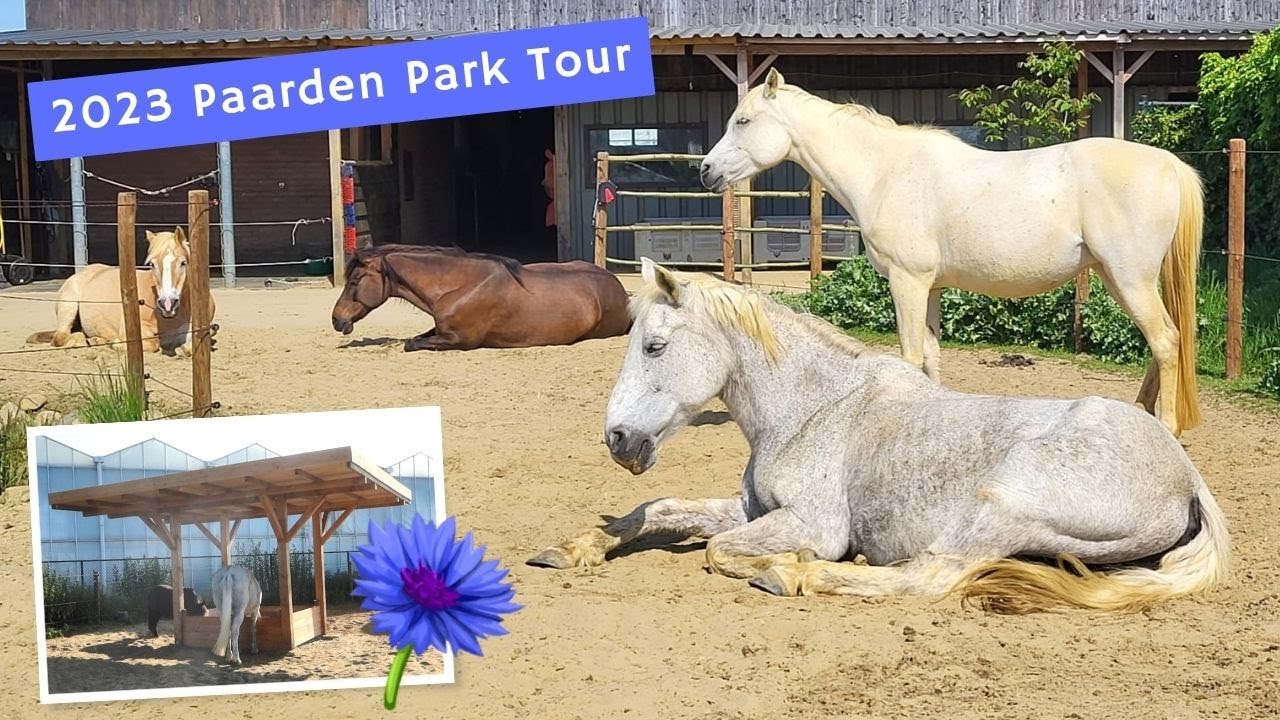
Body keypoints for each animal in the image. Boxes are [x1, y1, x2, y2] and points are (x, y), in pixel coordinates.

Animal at [27, 227, 216, 357]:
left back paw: (95, 340)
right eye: (152, 264)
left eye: (183, 262)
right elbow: (153, 343)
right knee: (61, 336)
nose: (167, 304)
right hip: (69, 306)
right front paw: (116, 344)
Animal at [331, 244, 631, 351]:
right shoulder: (440, 329)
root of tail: (617, 286)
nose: (336, 319)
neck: (460, 287)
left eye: (355, 281)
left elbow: (412, 344)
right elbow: (416, 337)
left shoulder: (459, 340)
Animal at [527, 258, 1230, 614]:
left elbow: (718, 551)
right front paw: (573, 550)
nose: (617, 439)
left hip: (1003, 504)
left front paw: (789, 564)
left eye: (654, 346)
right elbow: (660, 509)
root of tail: (1187, 476)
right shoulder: (753, 508)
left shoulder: (812, 524)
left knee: (929, 577)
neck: (810, 411)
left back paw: (794, 577)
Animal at [698, 68, 1204, 439]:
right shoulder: (932, 288)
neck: (885, 172)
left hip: (1129, 278)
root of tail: (1168, 163)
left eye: (743, 121)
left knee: (1165, 342)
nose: (705, 171)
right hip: (1123, 279)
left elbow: (908, 357)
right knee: (1161, 344)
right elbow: (931, 358)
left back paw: (1168, 428)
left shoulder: (907, 282)